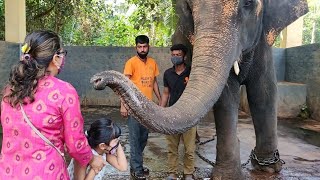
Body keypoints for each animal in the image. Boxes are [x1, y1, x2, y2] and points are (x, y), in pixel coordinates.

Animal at [90, 0, 308, 179]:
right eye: (189, 8)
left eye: (248, 3)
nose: (97, 80)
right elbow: (226, 97)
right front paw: (228, 176)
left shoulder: (262, 42)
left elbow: (264, 93)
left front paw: (269, 168)